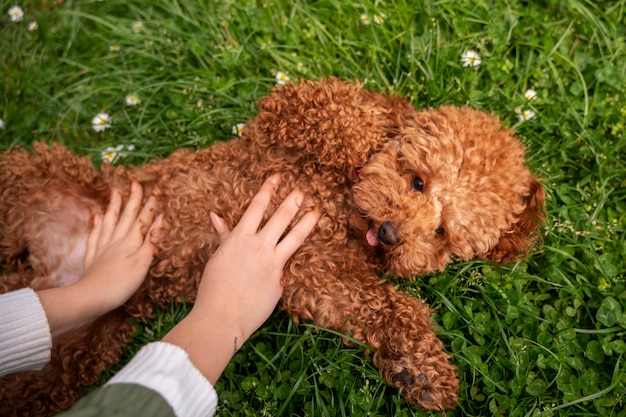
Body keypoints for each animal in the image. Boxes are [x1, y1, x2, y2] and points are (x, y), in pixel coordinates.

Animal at [0, 78, 540, 412]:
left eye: (442, 233)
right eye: (418, 181)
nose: (390, 233)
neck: (338, 204)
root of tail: (44, 265)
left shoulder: (314, 276)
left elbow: (390, 307)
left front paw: (422, 371)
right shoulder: (278, 121)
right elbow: (336, 112)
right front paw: (374, 135)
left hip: (68, 352)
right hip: (27, 174)